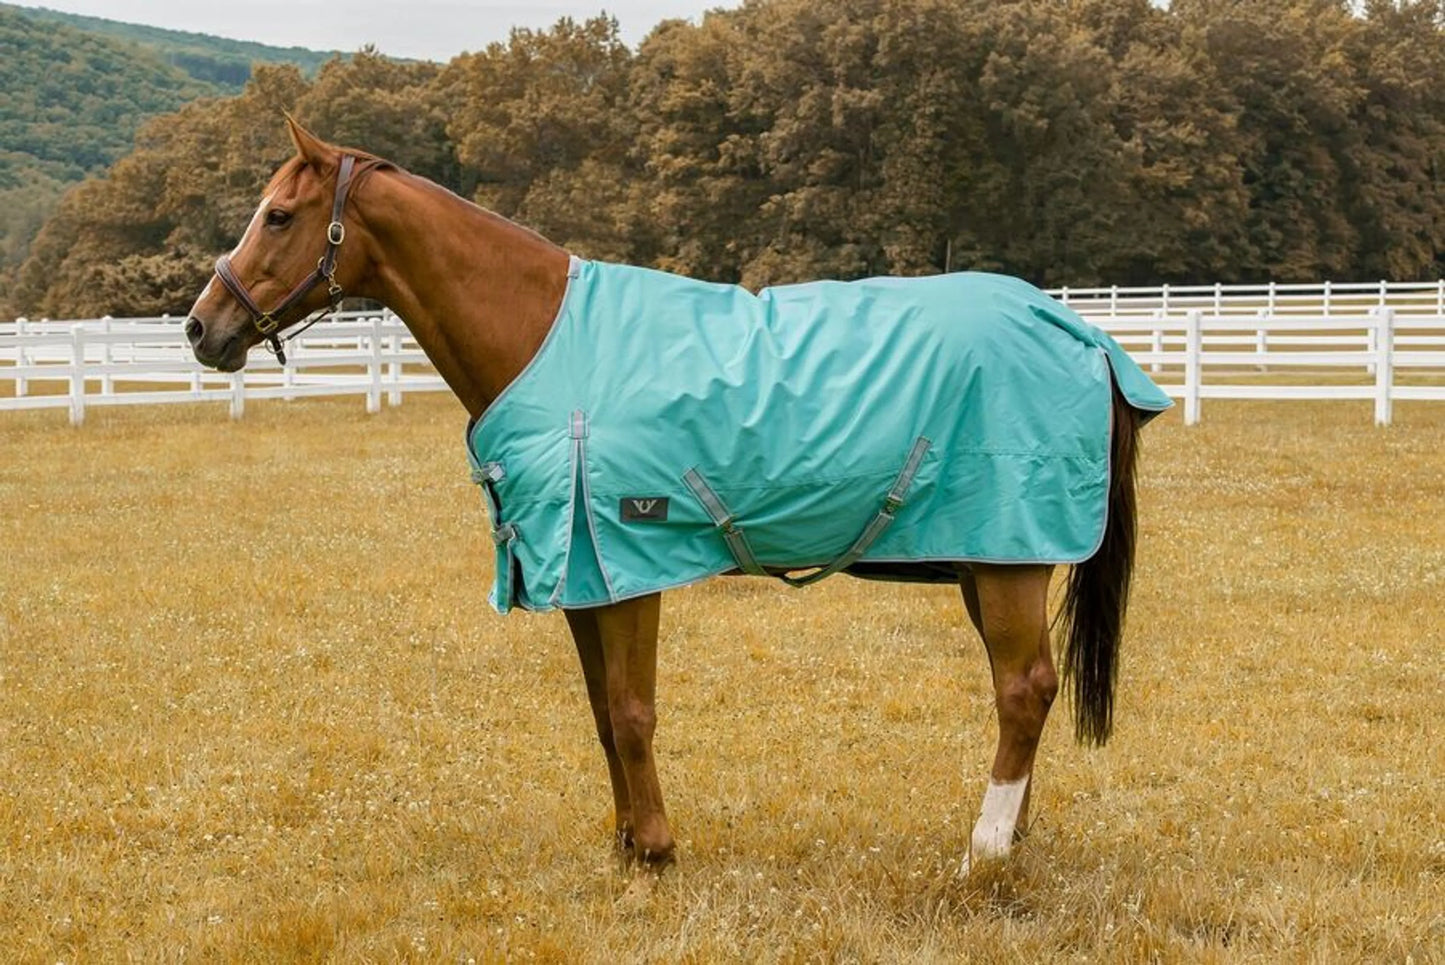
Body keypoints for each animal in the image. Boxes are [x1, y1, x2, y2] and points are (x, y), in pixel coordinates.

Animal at [185, 117, 1171, 874]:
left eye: (278, 215)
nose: (202, 327)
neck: (545, 337)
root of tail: (1077, 330)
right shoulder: (582, 579)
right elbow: (600, 714)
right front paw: (626, 844)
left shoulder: (628, 564)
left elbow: (632, 712)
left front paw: (656, 848)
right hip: (986, 558)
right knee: (1024, 688)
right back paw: (1013, 835)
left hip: (1006, 561)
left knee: (1023, 687)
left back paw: (986, 849)